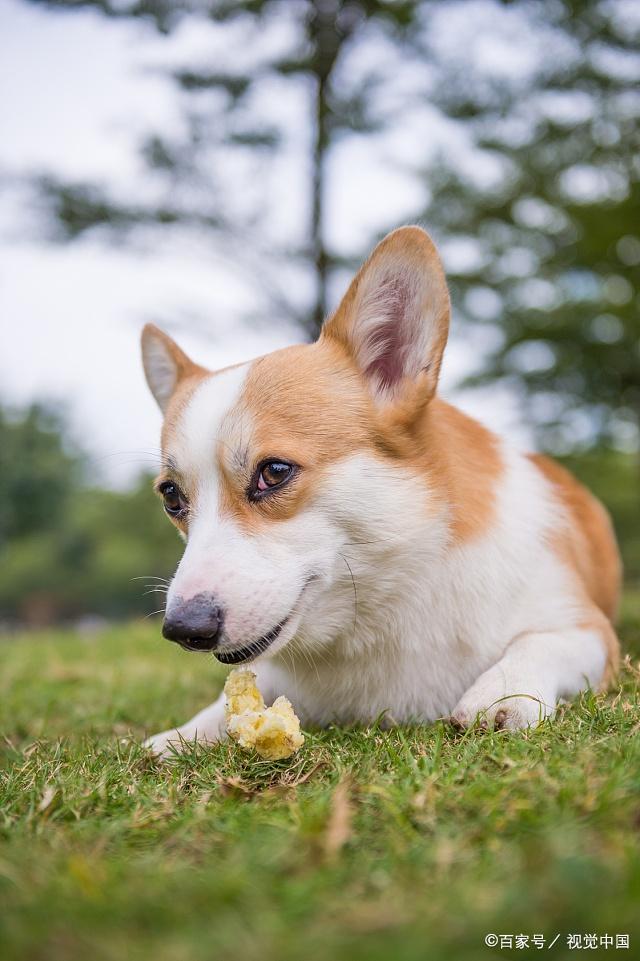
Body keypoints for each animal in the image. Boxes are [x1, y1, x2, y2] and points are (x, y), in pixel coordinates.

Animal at [140, 227, 620, 756]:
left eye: (275, 472)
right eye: (171, 497)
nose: (183, 630)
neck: (384, 598)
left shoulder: (593, 634)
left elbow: (540, 642)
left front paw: (504, 693)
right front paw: (179, 737)